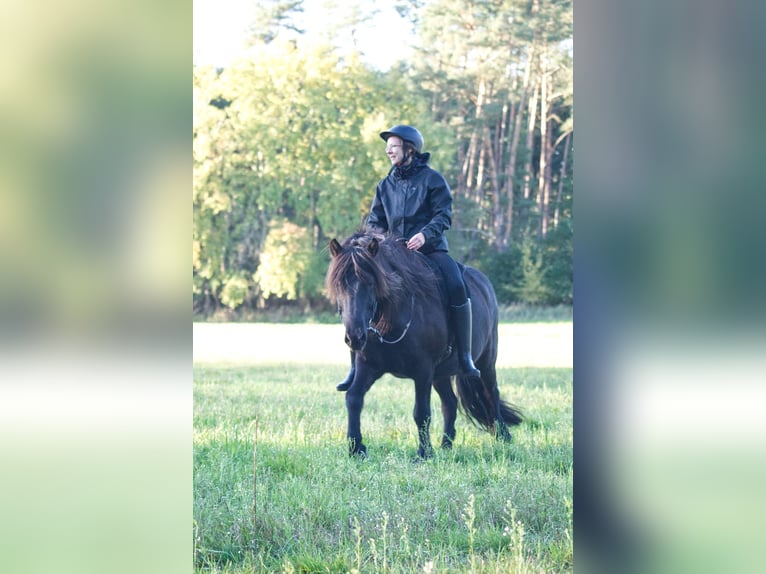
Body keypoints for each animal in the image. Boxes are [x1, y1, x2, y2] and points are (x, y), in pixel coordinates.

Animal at [328, 232, 524, 462]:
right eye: (338, 284)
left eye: (370, 282)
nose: (355, 337)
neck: (391, 319)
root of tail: (484, 283)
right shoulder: (368, 367)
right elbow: (353, 399)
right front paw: (356, 448)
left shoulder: (423, 370)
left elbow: (421, 412)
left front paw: (423, 453)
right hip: (441, 374)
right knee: (450, 403)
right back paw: (446, 444)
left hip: (486, 361)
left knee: (491, 392)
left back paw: (503, 435)